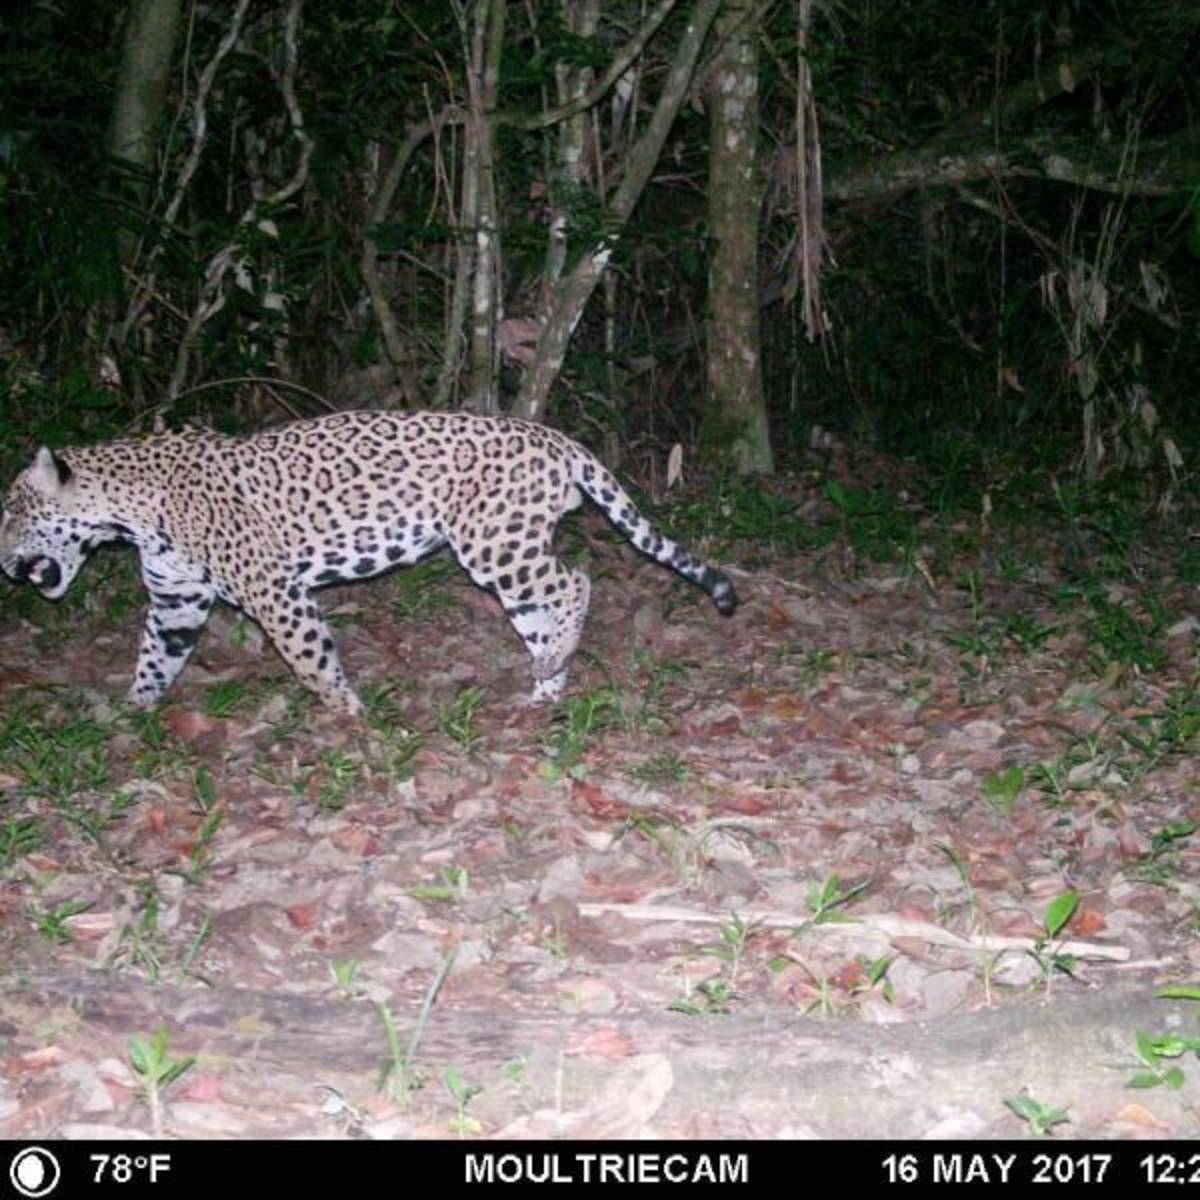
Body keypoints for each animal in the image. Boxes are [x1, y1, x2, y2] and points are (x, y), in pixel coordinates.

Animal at [0, 410, 738, 716]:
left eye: (11, 513)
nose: (6, 565)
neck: (127, 510)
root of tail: (557, 438)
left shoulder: (275, 592)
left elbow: (309, 658)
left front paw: (349, 717)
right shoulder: (177, 600)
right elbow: (155, 658)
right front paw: (130, 716)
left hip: (493, 544)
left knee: (577, 582)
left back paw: (555, 662)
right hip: (508, 551)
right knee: (543, 611)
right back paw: (543, 688)